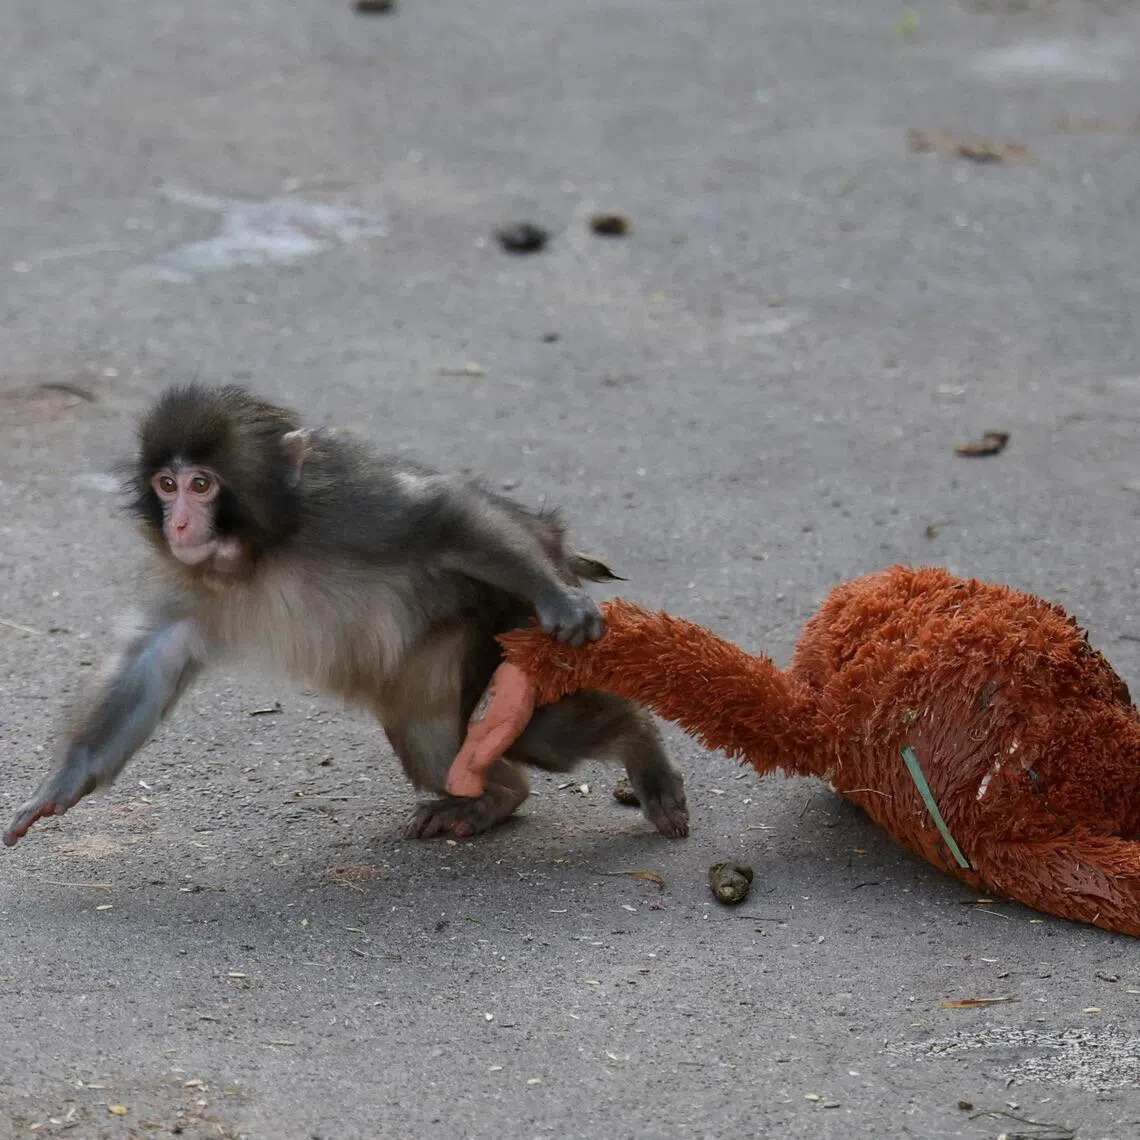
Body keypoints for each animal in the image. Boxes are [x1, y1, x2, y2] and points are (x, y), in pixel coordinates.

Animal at [2, 383, 689, 848]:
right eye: (165, 487)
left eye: (201, 485)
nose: (178, 524)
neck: (260, 552)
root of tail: (556, 540)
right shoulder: (188, 578)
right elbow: (152, 657)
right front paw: (61, 785)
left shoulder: (346, 508)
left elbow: (438, 517)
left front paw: (563, 601)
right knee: (438, 745)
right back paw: (492, 800)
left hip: (505, 619)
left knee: (544, 728)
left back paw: (640, 747)